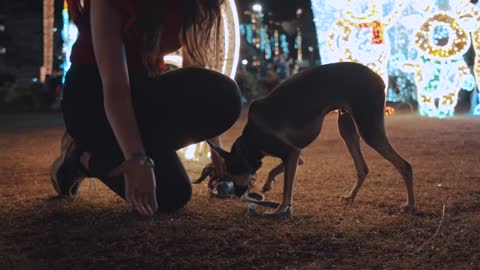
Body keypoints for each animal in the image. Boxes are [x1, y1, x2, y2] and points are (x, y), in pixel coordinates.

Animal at [208, 61, 414, 217]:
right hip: (346, 127)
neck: (250, 140)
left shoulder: (291, 152)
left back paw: (410, 205)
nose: (238, 193)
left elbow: (287, 190)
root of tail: (377, 77)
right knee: (362, 168)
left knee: (405, 166)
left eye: (235, 169)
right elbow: (277, 170)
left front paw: (280, 210)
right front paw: (268, 184)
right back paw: (350, 196)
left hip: (368, 129)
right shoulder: (294, 156)